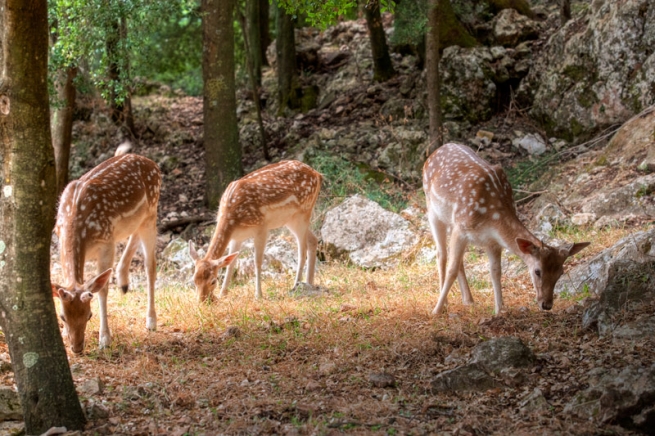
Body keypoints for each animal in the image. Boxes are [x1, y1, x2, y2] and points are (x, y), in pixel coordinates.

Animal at [51, 153, 161, 354]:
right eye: (62, 317)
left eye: (89, 315)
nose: (77, 348)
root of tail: (152, 163)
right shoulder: (59, 237)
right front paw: (62, 334)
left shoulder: (106, 242)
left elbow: (102, 290)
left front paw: (105, 339)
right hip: (136, 220)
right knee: (135, 234)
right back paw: (123, 281)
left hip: (152, 212)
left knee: (150, 265)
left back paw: (151, 320)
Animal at [188, 160, 322, 304]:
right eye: (194, 281)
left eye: (213, 281)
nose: (203, 301)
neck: (232, 217)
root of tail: (318, 174)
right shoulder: (237, 236)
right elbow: (231, 264)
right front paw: (223, 294)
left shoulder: (261, 227)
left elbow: (257, 261)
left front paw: (258, 295)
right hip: (291, 220)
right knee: (313, 240)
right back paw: (309, 283)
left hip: (303, 212)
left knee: (302, 250)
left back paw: (296, 285)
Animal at [422, 145, 592, 316]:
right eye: (537, 271)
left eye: (561, 272)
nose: (547, 305)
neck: (491, 217)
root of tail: (434, 152)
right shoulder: (461, 226)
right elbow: (452, 269)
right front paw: (436, 310)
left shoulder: (492, 242)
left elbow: (496, 272)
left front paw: (499, 311)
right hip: (433, 210)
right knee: (441, 254)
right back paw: (445, 304)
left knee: (457, 259)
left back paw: (468, 300)